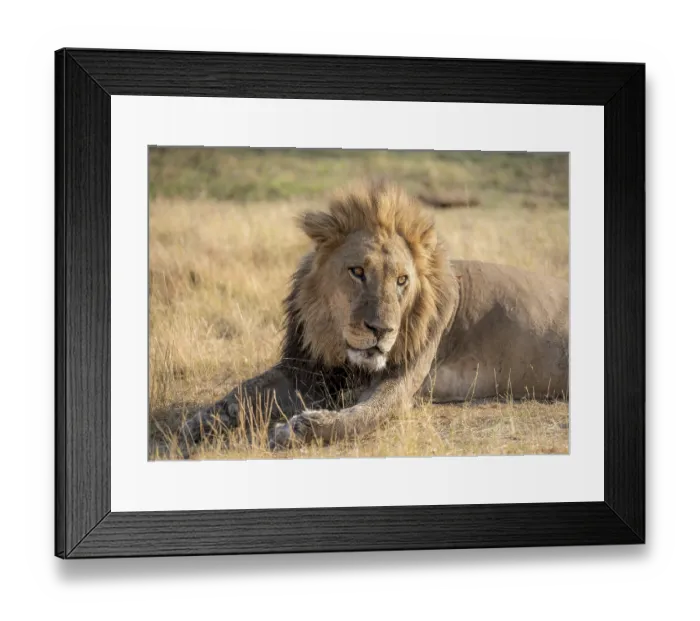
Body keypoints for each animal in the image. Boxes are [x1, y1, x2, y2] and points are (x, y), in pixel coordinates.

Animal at [178, 183, 569, 454]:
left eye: (402, 280)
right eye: (357, 272)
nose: (382, 330)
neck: (338, 348)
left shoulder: (402, 380)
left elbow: (364, 416)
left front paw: (302, 429)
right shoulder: (305, 369)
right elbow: (243, 392)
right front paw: (198, 423)